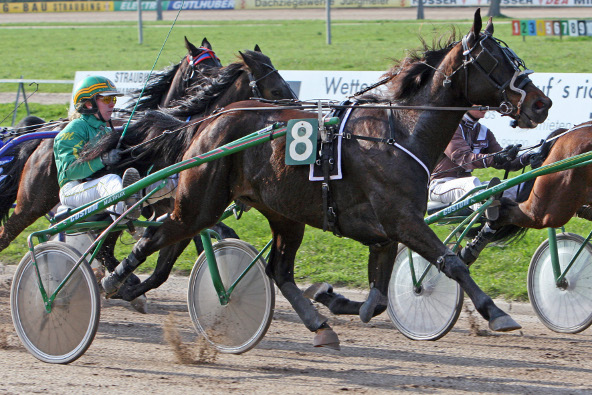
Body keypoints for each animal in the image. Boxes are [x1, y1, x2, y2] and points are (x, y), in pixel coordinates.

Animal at [102, 10, 552, 350]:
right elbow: (452, 262)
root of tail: (209, 122)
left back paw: (319, 325)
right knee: (156, 235)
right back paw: (114, 279)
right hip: (201, 202)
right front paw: (497, 313)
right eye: (495, 61)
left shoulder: (385, 232)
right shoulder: (403, 219)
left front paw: (332, 299)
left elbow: (378, 300)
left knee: (277, 270)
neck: (400, 132)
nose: (541, 103)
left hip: (283, 213)